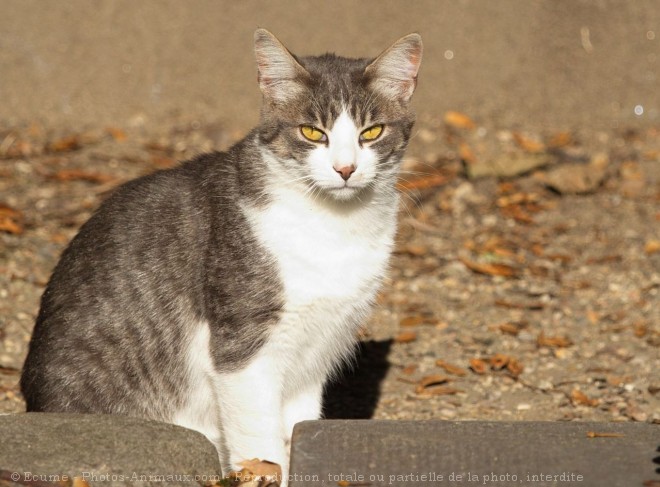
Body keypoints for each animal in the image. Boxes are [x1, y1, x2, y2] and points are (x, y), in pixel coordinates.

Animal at [21, 28, 422, 482]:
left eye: (371, 132)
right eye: (310, 132)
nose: (345, 169)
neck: (332, 226)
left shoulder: (316, 352)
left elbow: (297, 430)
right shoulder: (242, 349)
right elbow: (261, 444)